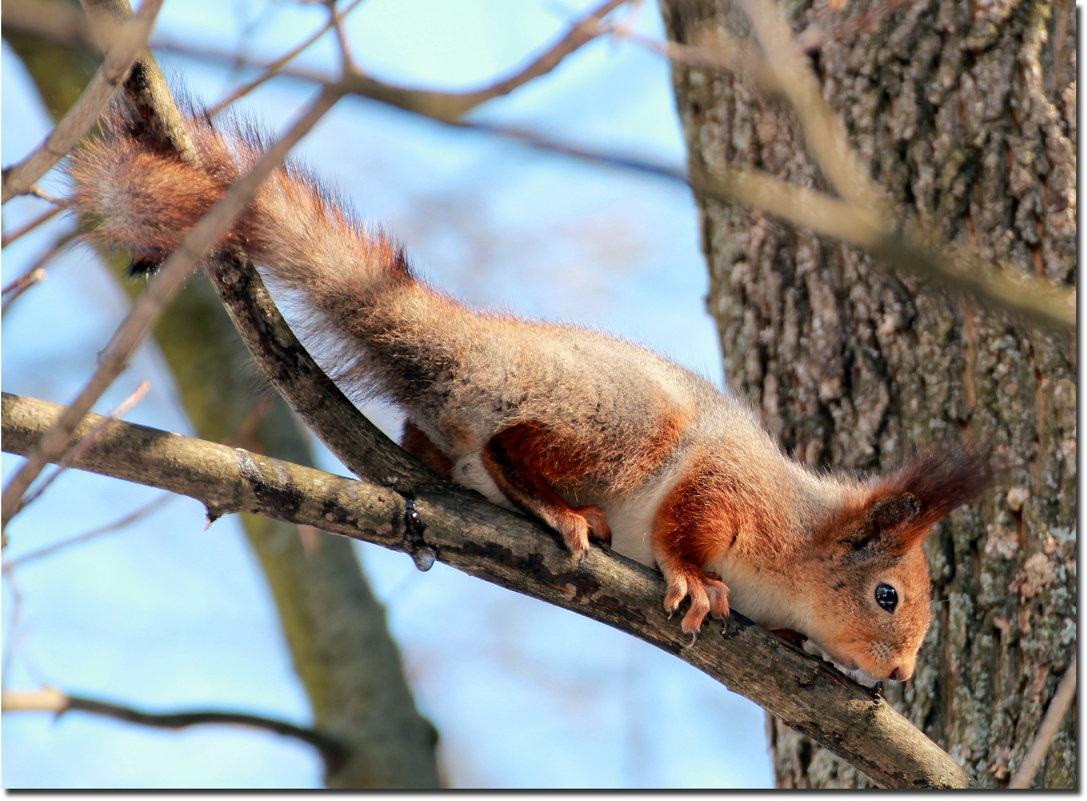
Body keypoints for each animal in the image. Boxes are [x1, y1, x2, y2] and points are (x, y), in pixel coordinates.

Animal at [63, 104, 991, 682]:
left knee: (436, 437)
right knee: (512, 446)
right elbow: (689, 524)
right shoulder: (730, 488)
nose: (899, 673)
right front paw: (694, 577)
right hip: (620, 428)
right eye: (886, 594)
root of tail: (488, 345)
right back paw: (558, 508)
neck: (801, 536)